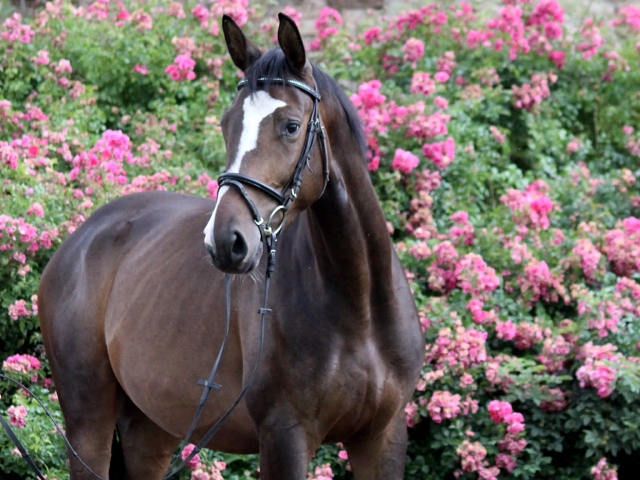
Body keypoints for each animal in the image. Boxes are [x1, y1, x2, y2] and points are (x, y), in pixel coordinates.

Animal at [36, 13, 424, 478]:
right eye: (226, 124)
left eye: (291, 126)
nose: (225, 241)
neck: (358, 306)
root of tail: (79, 240)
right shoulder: (284, 437)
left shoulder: (382, 438)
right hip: (87, 419)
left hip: (151, 426)